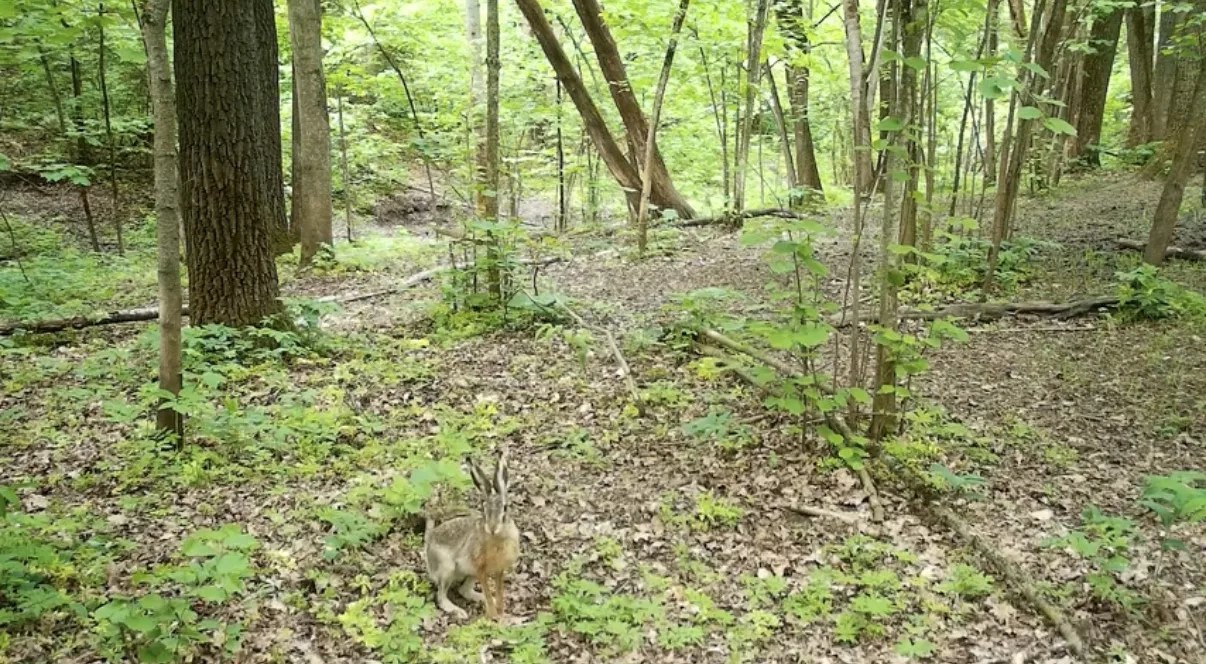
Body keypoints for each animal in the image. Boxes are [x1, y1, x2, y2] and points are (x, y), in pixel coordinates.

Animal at [423, 450, 520, 620]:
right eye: (483, 510)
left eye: (505, 508)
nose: (493, 528)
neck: (498, 538)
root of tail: (429, 542)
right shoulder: (480, 568)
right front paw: (494, 616)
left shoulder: (497, 570)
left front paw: (501, 611)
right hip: (446, 569)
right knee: (441, 597)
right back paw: (459, 611)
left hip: (469, 573)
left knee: (464, 591)